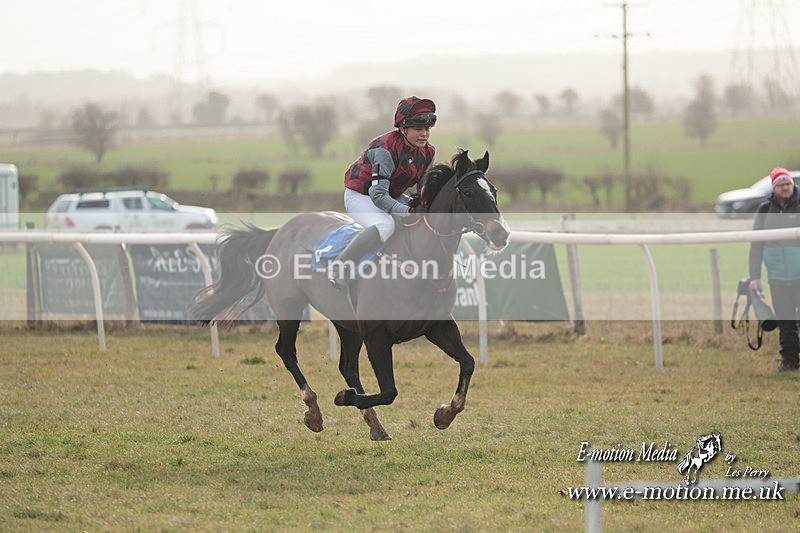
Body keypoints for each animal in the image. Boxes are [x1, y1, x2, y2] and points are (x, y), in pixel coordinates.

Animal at [190, 149, 511, 440]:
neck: (419, 261)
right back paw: (314, 411)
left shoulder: (437, 325)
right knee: (287, 351)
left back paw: (375, 426)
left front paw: (445, 413)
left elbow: (468, 362)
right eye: (468, 191)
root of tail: (279, 231)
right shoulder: (376, 334)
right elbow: (389, 391)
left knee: (347, 367)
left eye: (493, 190)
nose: (501, 233)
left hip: (346, 323)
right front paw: (344, 397)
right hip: (290, 306)